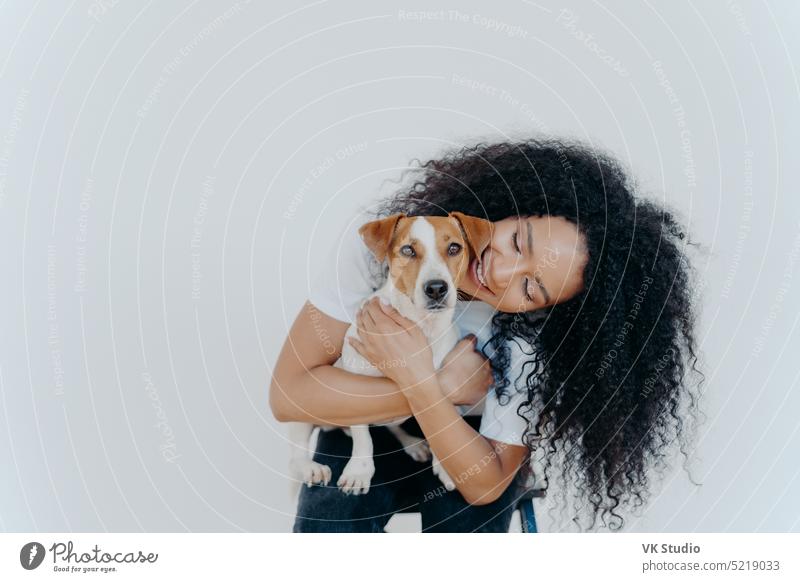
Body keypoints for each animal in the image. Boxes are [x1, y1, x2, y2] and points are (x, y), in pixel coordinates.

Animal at [290, 213, 490, 498]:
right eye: (407, 250)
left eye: (454, 248)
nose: (436, 288)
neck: (422, 326)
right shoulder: (355, 384)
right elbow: (363, 437)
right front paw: (359, 471)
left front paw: (445, 466)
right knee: (295, 453)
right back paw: (310, 468)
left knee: (393, 426)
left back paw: (413, 444)